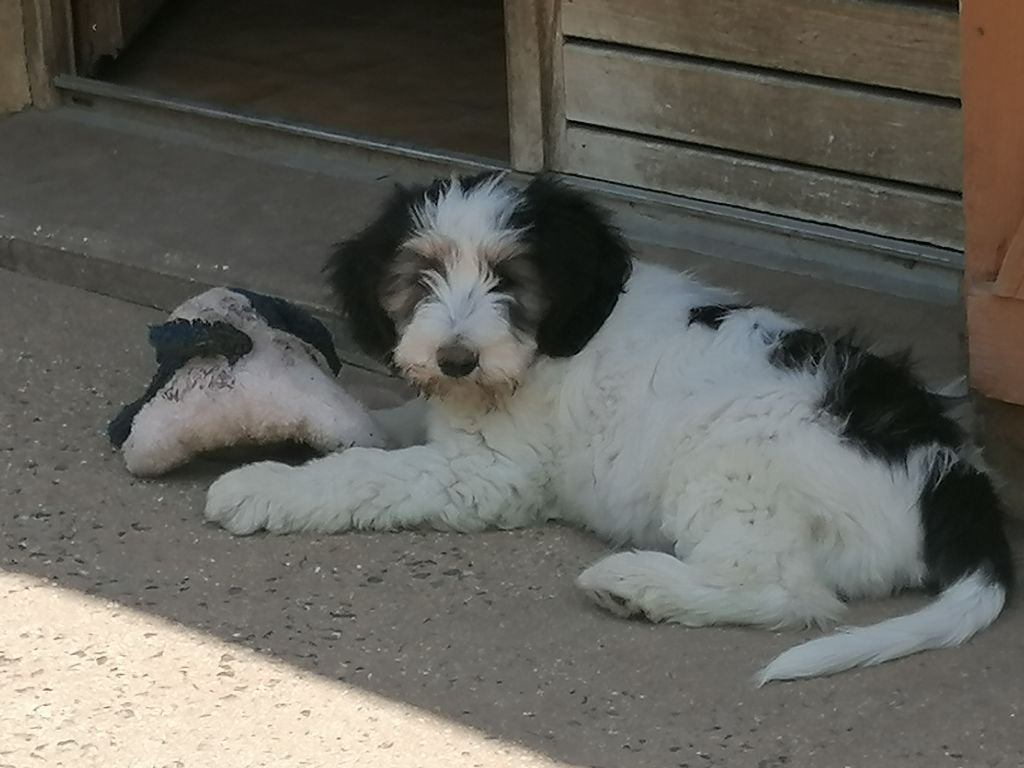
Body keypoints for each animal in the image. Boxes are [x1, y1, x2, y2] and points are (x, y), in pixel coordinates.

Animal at [203, 173, 1011, 684]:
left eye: (509, 281)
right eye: (422, 278)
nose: (456, 359)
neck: (551, 343)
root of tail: (952, 471)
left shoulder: (489, 474)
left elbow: (367, 475)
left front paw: (261, 486)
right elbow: (387, 429)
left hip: (736, 468)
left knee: (786, 594)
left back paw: (637, 585)